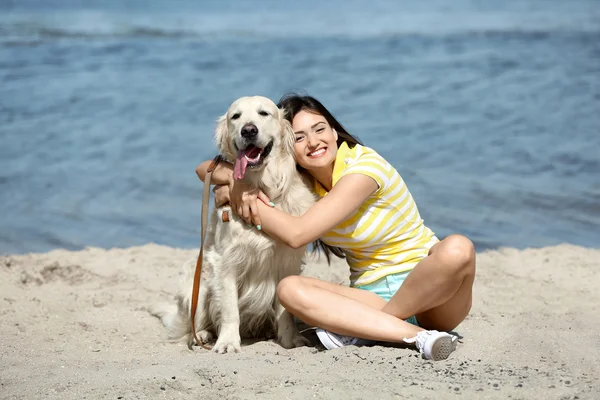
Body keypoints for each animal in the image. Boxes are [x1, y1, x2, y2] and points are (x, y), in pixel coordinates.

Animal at [154, 97, 314, 354]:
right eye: (235, 116)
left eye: (264, 113)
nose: (248, 130)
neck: (260, 188)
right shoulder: (224, 261)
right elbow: (230, 309)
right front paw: (228, 342)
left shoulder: (288, 260)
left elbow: (285, 311)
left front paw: (291, 340)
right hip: (198, 284)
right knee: (193, 323)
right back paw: (202, 335)